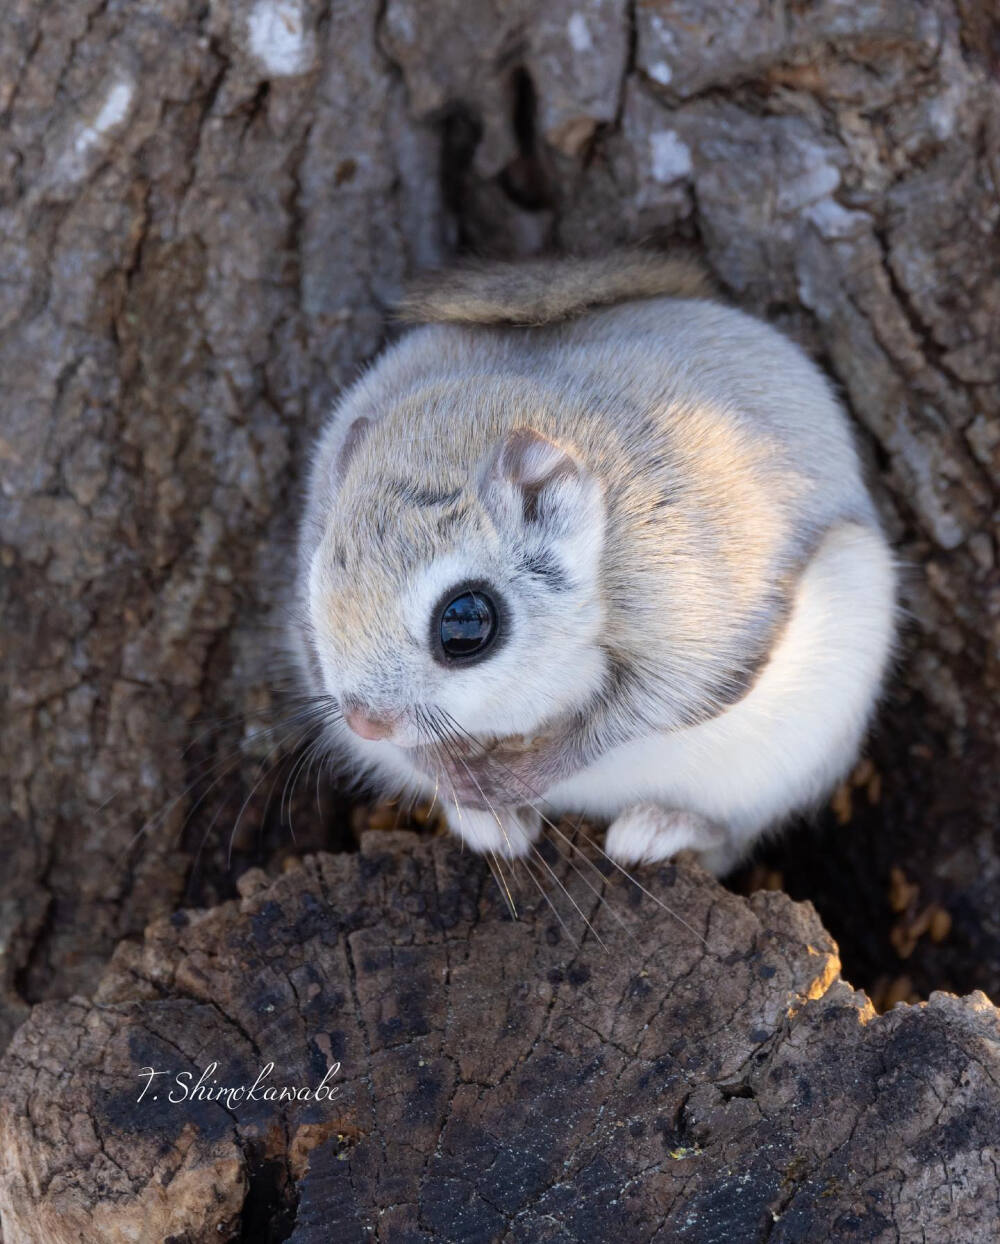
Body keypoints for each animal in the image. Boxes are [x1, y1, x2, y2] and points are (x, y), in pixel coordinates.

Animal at [293, 252, 895, 875]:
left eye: (465, 623)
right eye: (317, 586)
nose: (367, 722)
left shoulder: (699, 610)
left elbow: (635, 716)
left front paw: (511, 778)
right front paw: (459, 779)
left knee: (729, 839)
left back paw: (662, 828)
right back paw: (491, 824)